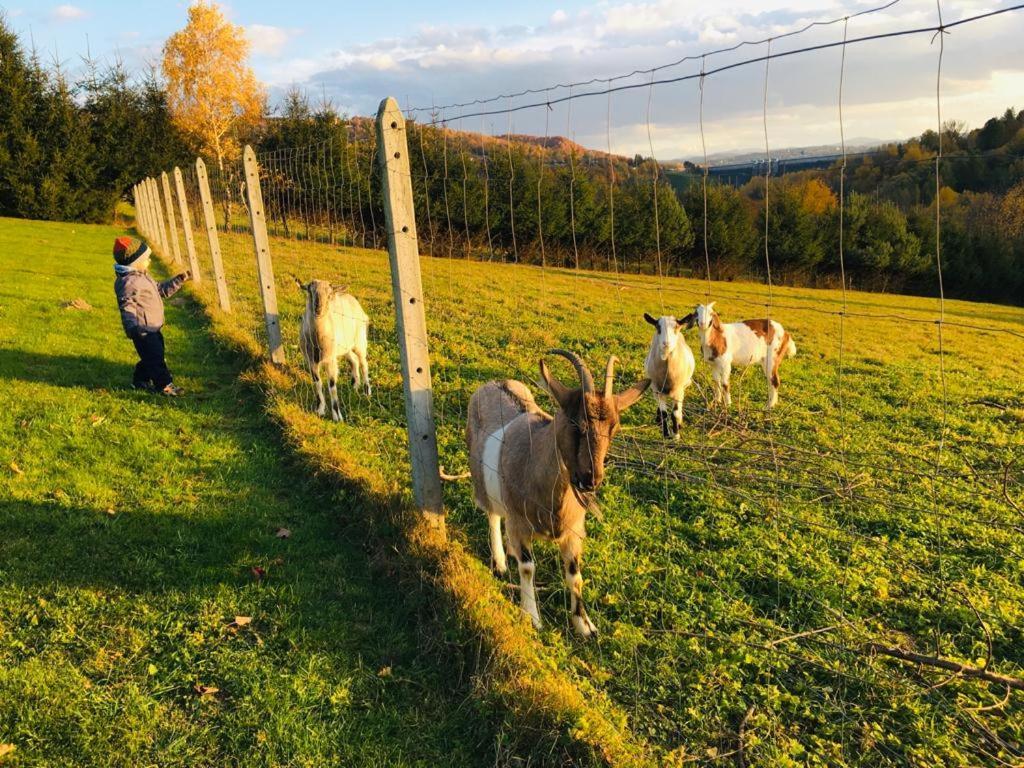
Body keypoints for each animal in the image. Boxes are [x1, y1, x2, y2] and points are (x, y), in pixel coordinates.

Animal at [294, 276, 370, 421]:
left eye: (329, 295)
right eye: (310, 292)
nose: (318, 309)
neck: (317, 340)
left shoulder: (330, 360)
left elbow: (332, 386)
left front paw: (337, 416)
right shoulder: (311, 360)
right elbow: (317, 383)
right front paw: (320, 409)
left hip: (360, 341)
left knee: (363, 363)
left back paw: (367, 391)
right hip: (344, 346)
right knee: (354, 361)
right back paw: (355, 385)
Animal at [466, 348, 647, 638]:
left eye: (614, 428)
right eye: (576, 424)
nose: (590, 479)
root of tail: (493, 383)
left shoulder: (574, 531)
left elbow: (575, 575)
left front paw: (585, 625)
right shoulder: (520, 523)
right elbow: (528, 567)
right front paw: (532, 617)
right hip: (482, 481)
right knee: (493, 515)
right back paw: (501, 562)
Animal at [638, 313, 696, 442]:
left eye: (676, 327)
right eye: (658, 327)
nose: (666, 343)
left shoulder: (678, 391)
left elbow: (675, 413)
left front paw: (676, 435)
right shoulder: (657, 390)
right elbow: (664, 413)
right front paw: (666, 434)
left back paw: (679, 423)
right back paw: (658, 420)